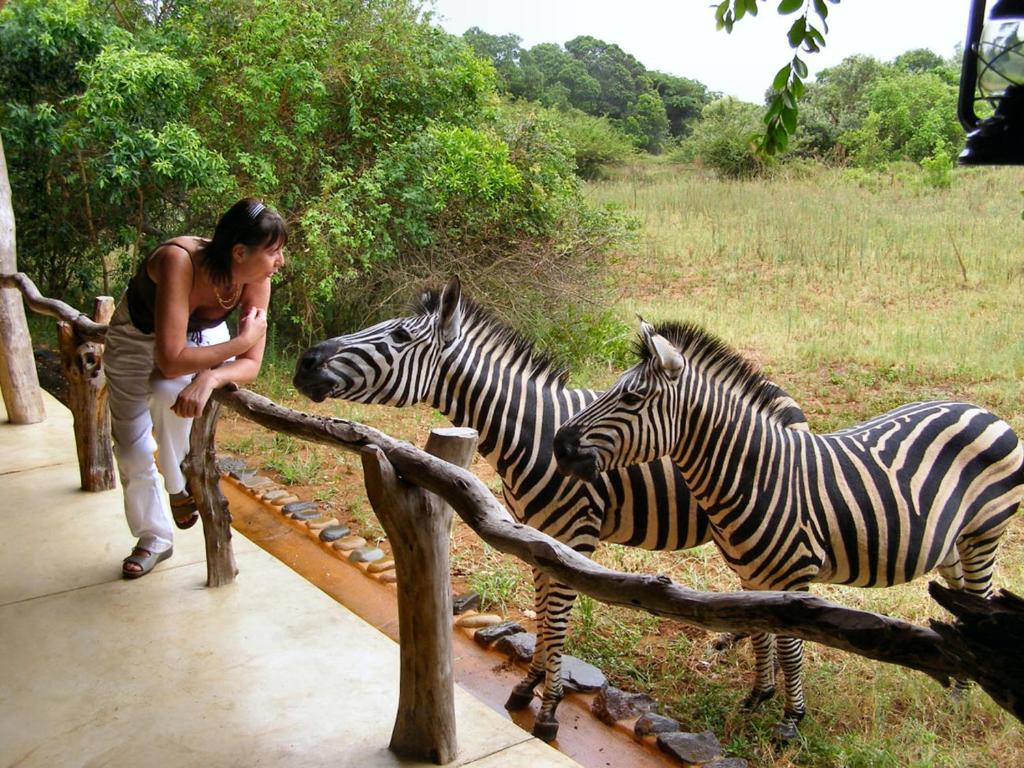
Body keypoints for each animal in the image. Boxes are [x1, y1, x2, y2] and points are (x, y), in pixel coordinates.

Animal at [290, 276, 806, 741]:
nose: (305, 361)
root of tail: (786, 397)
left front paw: (550, 708)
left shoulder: (573, 538)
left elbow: (556, 622)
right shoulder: (538, 538)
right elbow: (541, 612)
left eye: (398, 337)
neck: (531, 432)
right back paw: (757, 689)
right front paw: (530, 683)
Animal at [557, 319, 1024, 741]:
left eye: (632, 397)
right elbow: (762, 636)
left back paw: (961, 697)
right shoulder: (750, 576)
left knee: (979, 602)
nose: (561, 446)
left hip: (984, 534)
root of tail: (983, 411)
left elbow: (789, 648)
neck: (755, 475)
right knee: (959, 601)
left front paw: (790, 720)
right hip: (951, 543)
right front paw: (757, 696)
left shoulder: (793, 580)